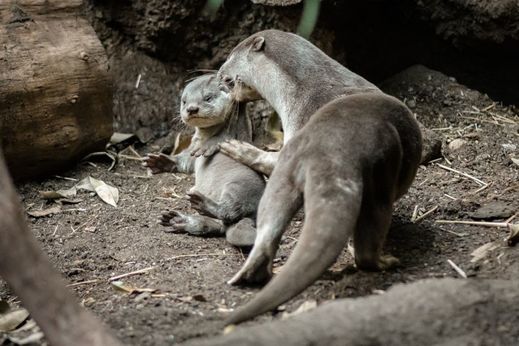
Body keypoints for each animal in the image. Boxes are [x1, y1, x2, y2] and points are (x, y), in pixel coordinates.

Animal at [143, 73, 266, 246]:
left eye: (207, 98)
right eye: (184, 101)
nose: (192, 109)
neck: (202, 138)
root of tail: (252, 216)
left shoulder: (234, 132)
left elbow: (222, 139)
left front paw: (208, 146)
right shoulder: (191, 153)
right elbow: (185, 162)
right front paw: (160, 162)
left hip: (239, 187)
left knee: (230, 210)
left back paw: (201, 203)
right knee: (209, 226)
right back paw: (178, 220)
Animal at [217, 29, 424, 324]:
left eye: (229, 63)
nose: (220, 77)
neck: (301, 90)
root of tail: (332, 146)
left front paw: (234, 146)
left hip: (290, 173)